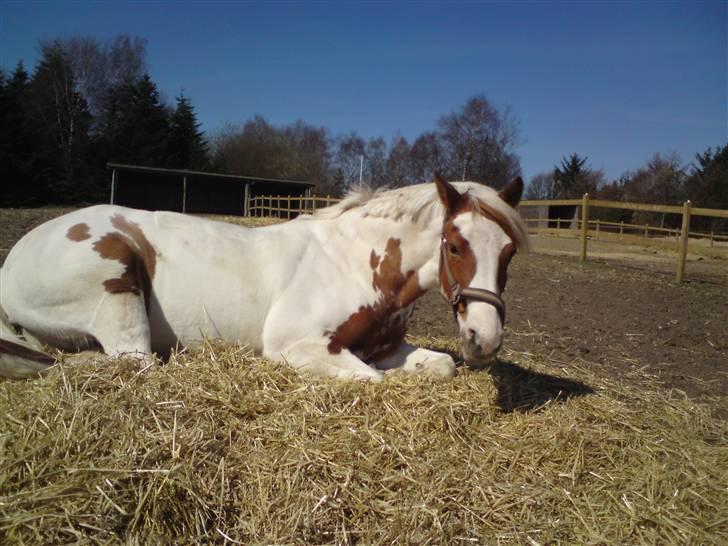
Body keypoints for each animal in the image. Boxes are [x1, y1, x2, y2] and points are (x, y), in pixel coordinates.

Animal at [0, 174, 528, 378]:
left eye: (509, 253)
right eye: (455, 245)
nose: (485, 340)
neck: (355, 263)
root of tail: (12, 263)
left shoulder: (388, 347)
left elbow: (439, 365)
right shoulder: (296, 344)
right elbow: (371, 378)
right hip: (117, 287)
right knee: (136, 362)